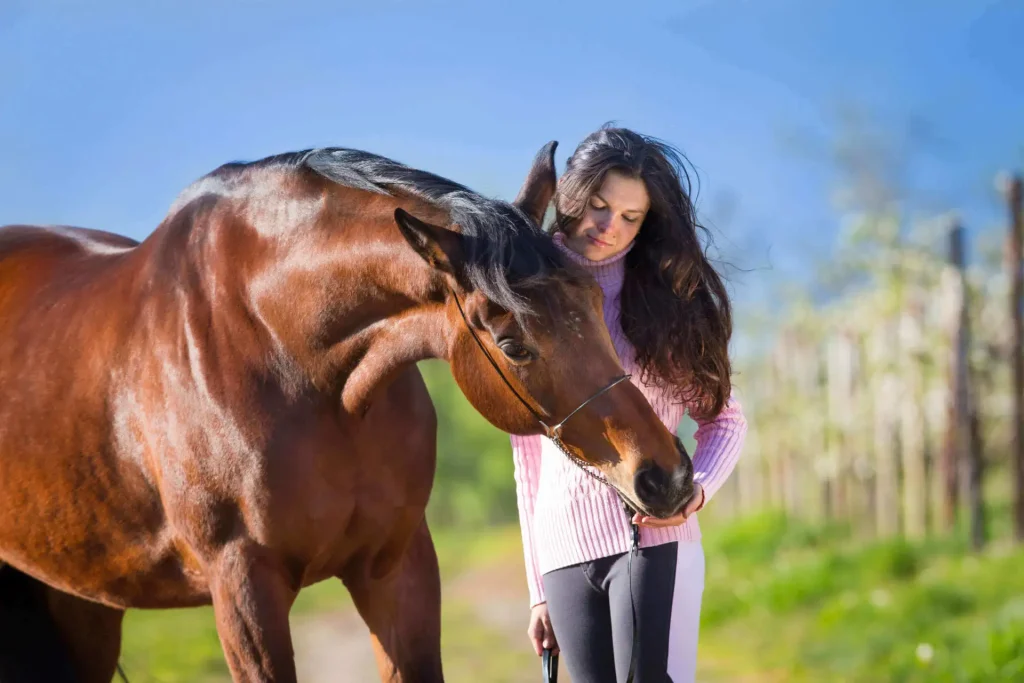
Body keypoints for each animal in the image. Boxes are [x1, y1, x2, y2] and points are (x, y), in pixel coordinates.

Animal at [0, 141, 696, 679]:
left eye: (593, 298)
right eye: (511, 345)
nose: (666, 478)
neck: (286, 353)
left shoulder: (397, 567)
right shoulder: (244, 590)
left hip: (80, 604)